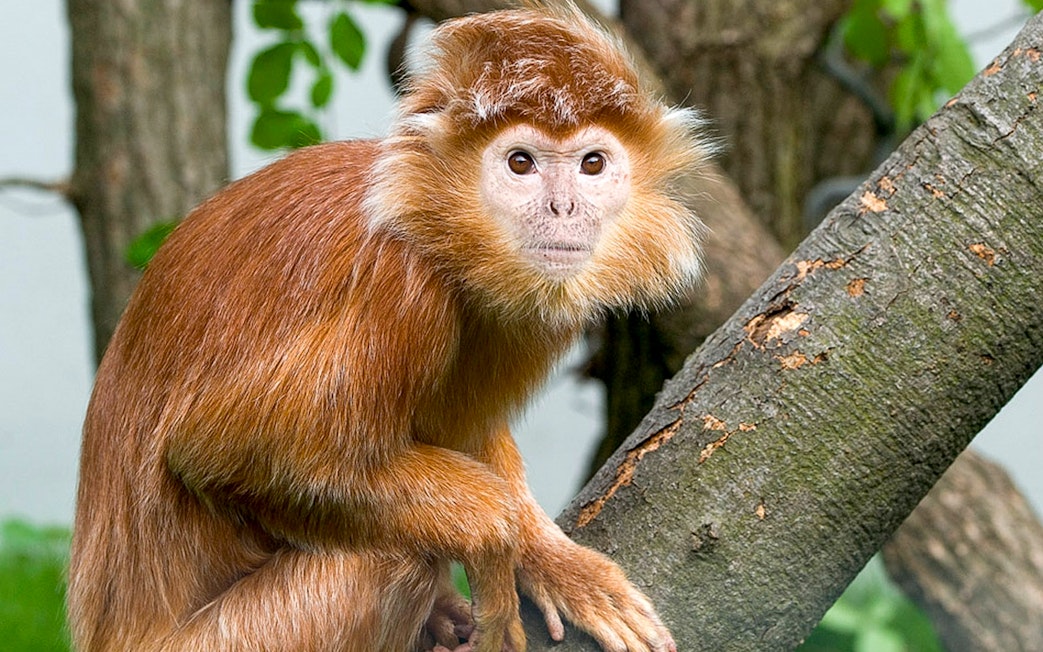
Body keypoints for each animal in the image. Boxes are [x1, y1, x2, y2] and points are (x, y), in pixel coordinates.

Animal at [67, 5, 706, 652]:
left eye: (591, 163)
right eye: (521, 162)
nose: (564, 208)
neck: (423, 221)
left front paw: (555, 565)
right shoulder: (398, 288)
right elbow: (231, 452)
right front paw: (494, 535)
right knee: (390, 556)